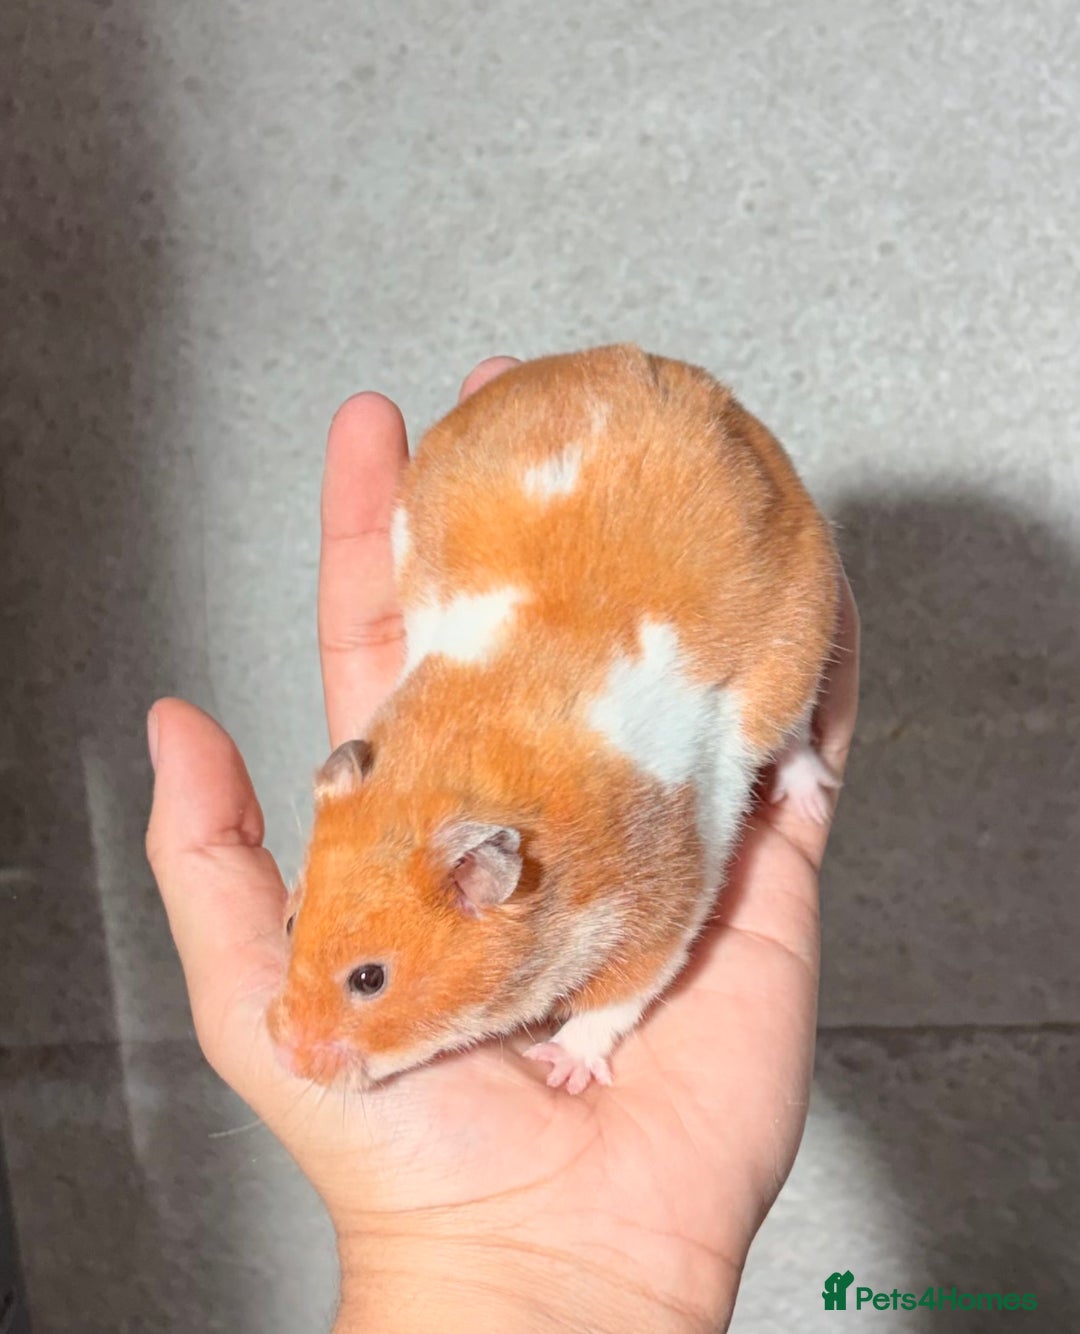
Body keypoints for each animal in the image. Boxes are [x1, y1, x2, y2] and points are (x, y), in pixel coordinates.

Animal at [267, 344, 839, 1095]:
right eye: (289, 922)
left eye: (369, 979)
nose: (287, 1060)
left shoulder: (665, 896)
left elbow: (624, 993)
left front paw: (560, 1067)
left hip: (798, 644)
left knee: (797, 734)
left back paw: (810, 799)